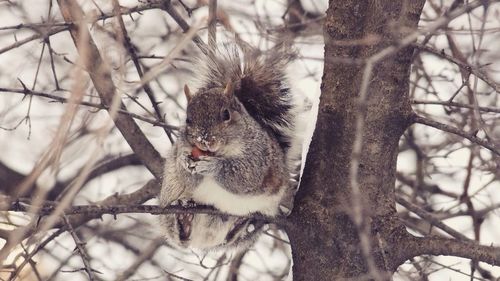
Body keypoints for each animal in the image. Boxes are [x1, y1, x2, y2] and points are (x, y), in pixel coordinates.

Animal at [160, 43, 298, 249]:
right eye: (188, 119)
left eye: (226, 114)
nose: (204, 139)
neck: (219, 152)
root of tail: (204, 241)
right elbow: (187, 176)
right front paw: (184, 161)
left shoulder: (259, 156)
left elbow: (243, 177)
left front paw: (212, 166)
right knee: (179, 235)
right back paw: (184, 218)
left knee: (232, 234)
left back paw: (238, 223)